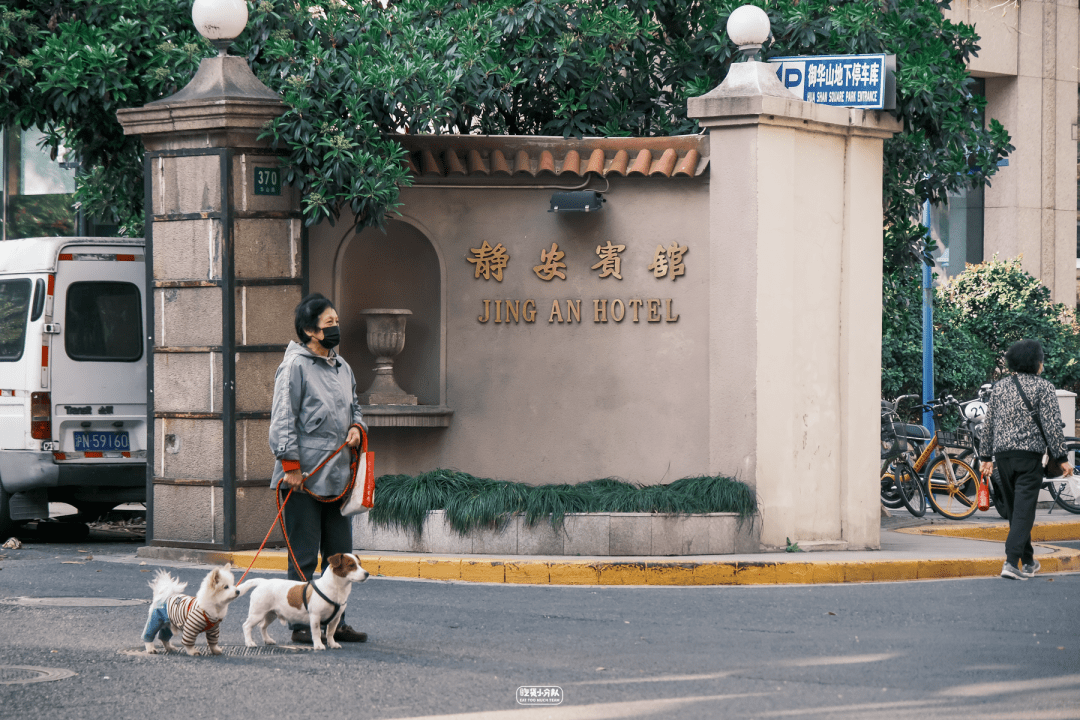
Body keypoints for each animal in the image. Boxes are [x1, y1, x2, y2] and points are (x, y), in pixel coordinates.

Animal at [238, 557, 369, 651]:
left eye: (360, 564)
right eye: (351, 565)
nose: (367, 573)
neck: (335, 588)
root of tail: (262, 582)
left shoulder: (335, 619)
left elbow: (330, 633)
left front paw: (332, 644)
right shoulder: (315, 616)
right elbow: (316, 632)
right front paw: (318, 645)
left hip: (271, 614)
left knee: (262, 626)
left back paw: (268, 640)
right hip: (257, 614)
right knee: (246, 626)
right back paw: (249, 642)